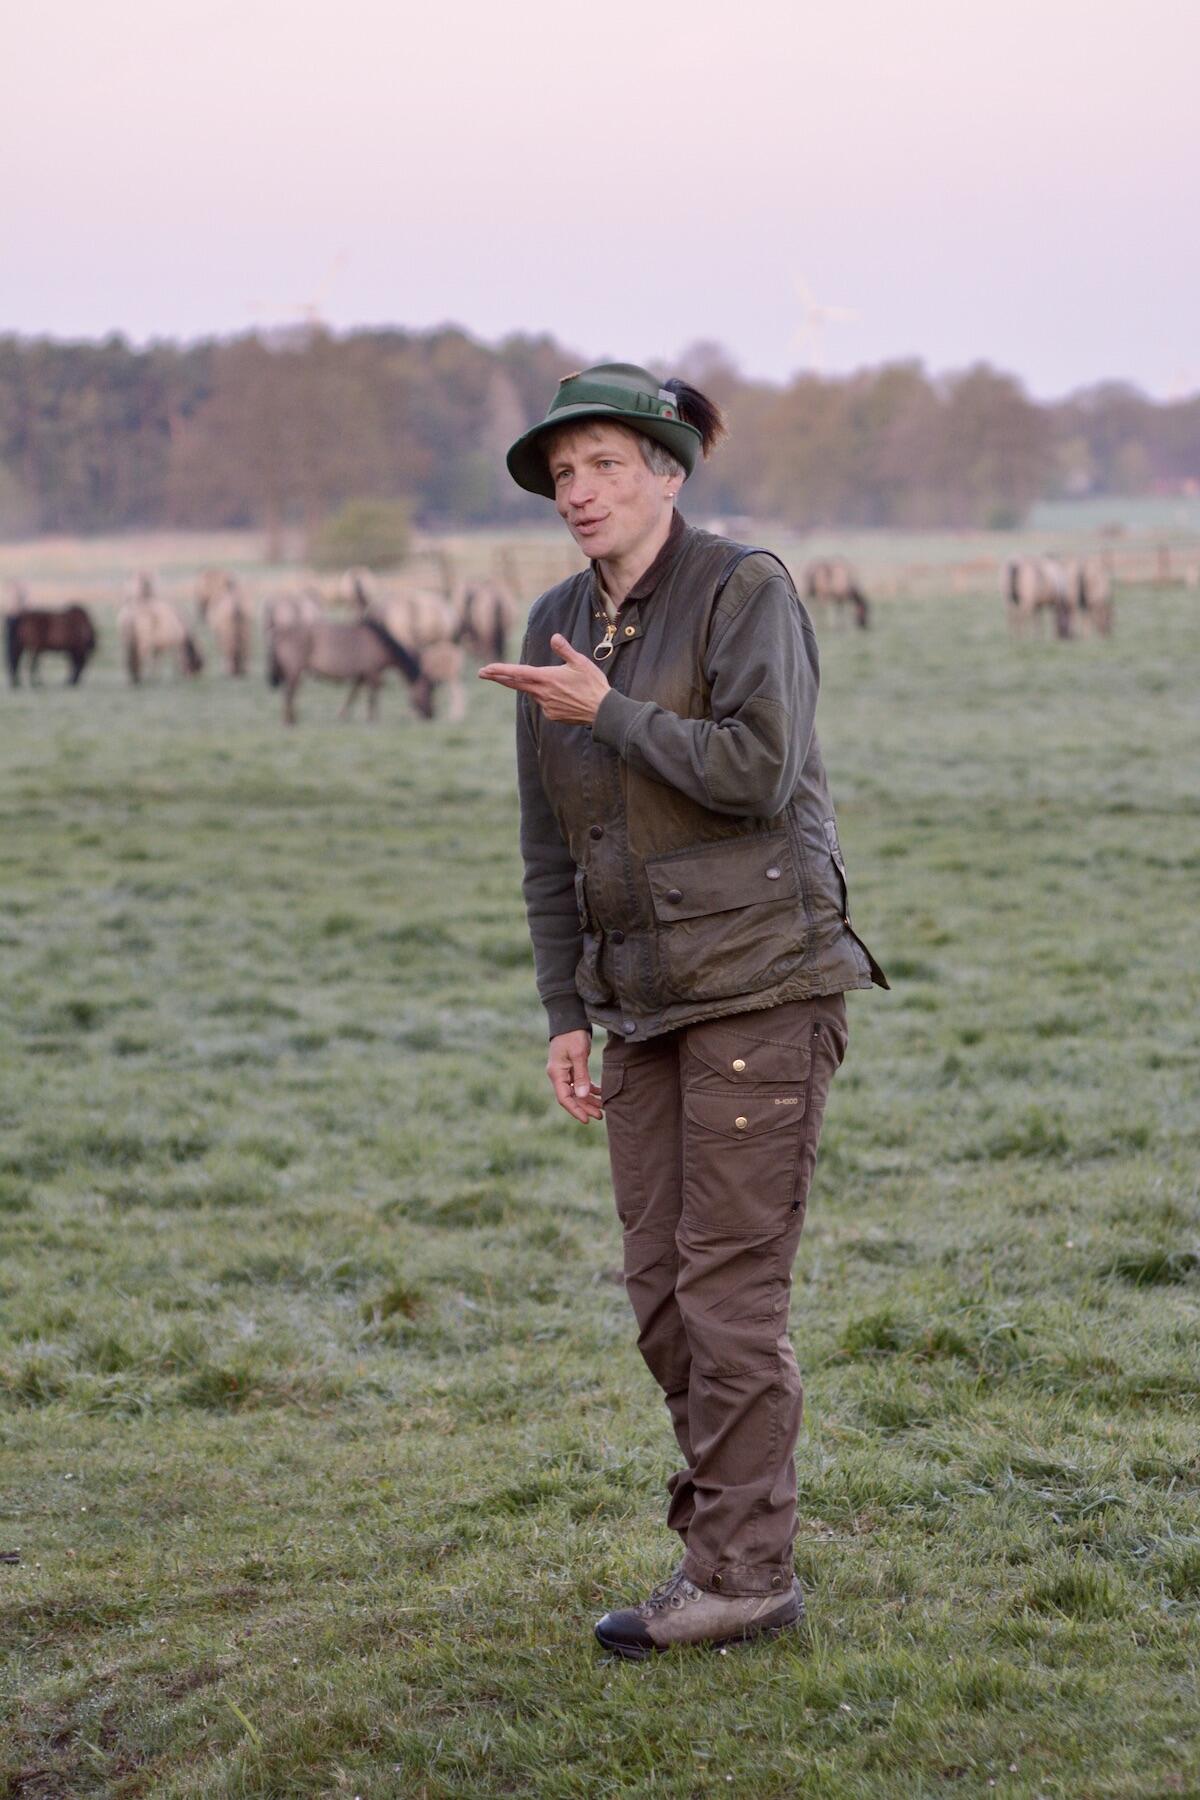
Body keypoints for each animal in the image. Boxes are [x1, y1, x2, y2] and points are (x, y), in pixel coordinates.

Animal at [264, 612, 433, 723]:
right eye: (428, 691)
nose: (432, 715)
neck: (380, 643)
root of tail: (278, 632)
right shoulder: (372, 673)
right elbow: (372, 696)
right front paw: (373, 719)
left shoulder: (362, 675)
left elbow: (353, 695)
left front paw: (343, 715)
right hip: (294, 671)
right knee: (289, 694)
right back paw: (290, 722)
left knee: (290, 694)